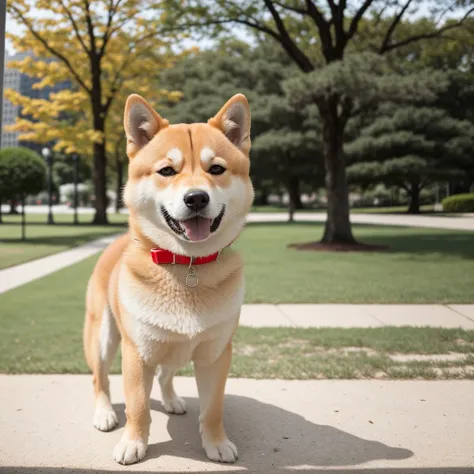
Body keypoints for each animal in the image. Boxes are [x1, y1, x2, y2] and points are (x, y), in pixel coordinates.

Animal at [84, 94, 256, 464]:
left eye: (216, 169)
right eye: (167, 171)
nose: (196, 198)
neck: (186, 264)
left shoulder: (216, 354)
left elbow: (213, 408)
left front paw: (217, 442)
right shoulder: (137, 353)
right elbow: (137, 407)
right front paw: (134, 443)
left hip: (174, 347)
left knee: (165, 375)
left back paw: (172, 400)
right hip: (102, 336)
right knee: (100, 379)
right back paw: (103, 412)